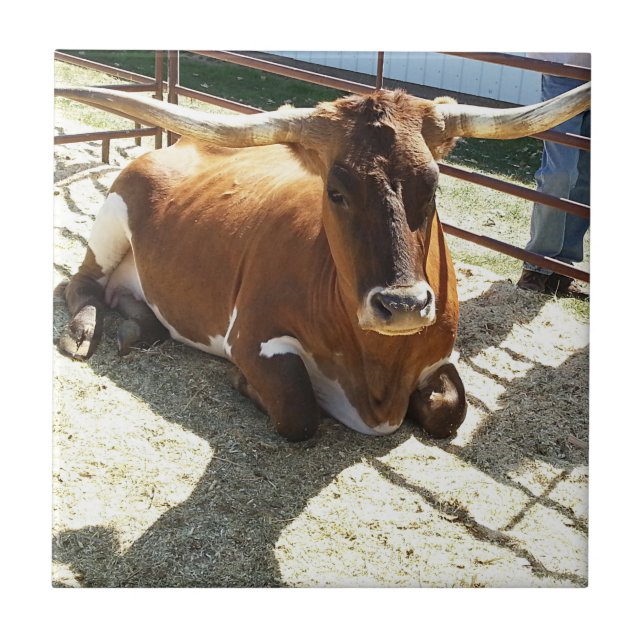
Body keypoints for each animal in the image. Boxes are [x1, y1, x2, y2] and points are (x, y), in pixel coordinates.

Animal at [55, 82, 590, 441]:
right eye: (335, 191)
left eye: (435, 185)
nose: (403, 306)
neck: (380, 371)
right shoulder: (251, 336)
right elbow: (299, 412)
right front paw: (244, 383)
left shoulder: (441, 356)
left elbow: (450, 410)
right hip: (112, 214)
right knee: (79, 284)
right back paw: (84, 332)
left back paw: (139, 328)